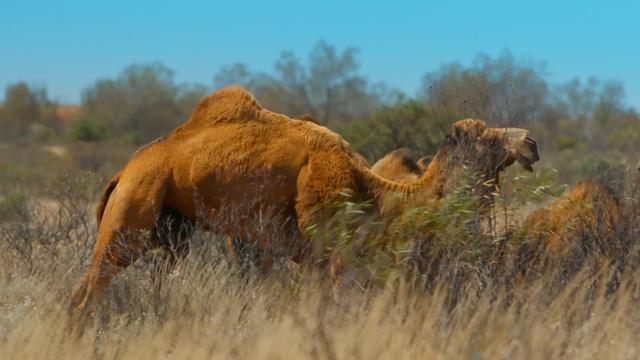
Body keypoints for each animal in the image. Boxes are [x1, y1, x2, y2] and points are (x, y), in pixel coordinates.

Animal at [70, 86, 540, 310]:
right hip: (136, 203)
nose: (531, 142)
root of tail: (124, 169)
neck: (378, 195)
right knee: (91, 286)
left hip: (170, 227)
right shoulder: (329, 250)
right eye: (487, 138)